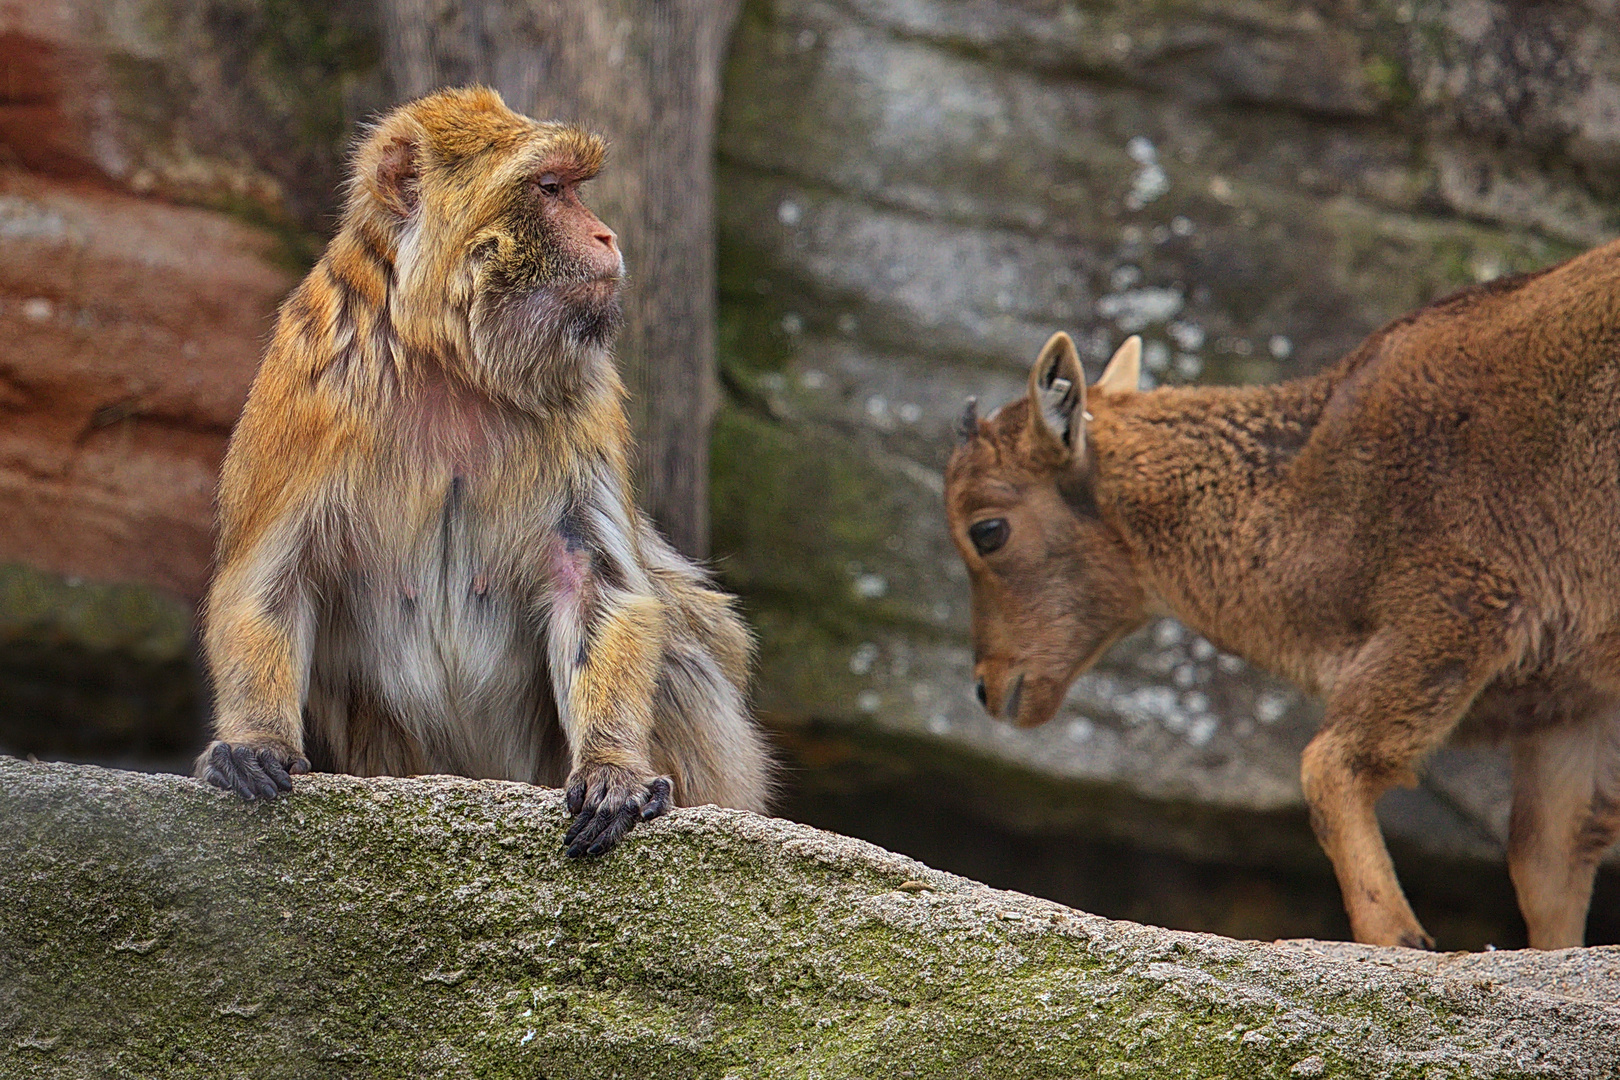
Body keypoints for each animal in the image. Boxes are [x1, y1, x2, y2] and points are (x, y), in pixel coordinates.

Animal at [946, 242, 1620, 945]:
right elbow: (1548, 861)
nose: (991, 686)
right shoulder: (1570, 700)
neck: (1313, 482)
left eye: (987, 529)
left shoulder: (1457, 606)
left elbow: (1327, 767)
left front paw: (1401, 940)